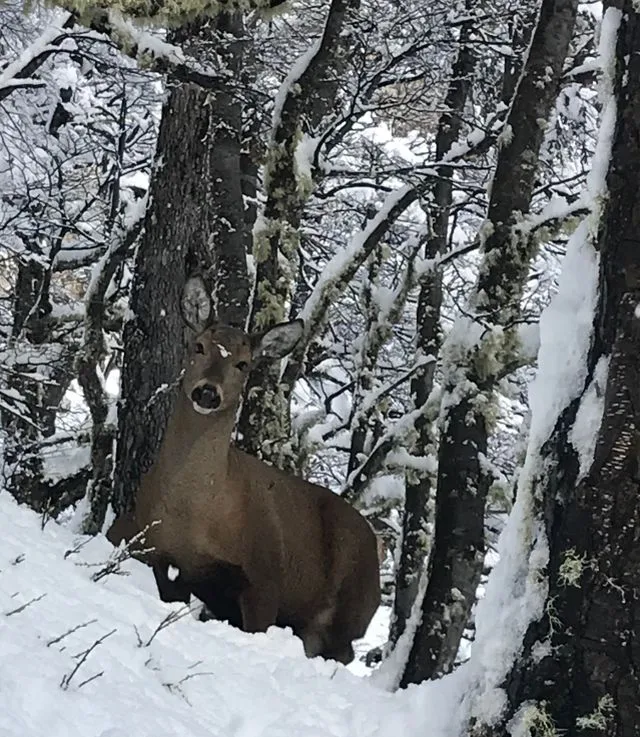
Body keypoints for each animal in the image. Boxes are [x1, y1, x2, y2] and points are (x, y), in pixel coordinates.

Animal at [109, 274, 380, 660]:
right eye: (199, 346)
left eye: (244, 364)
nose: (208, 392)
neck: (194, 516)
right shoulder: (156, 553)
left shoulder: (264, 576)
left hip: (349, 612)